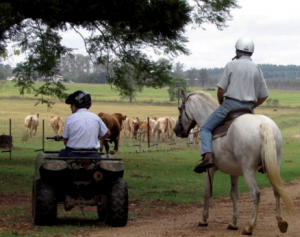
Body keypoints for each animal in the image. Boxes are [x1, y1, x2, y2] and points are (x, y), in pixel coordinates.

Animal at [172, 89, 294, 235]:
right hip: (274, 166)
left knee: (256, 194)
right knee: (277, 190)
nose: (177, 130)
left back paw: (249, 227)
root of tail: (263, 125)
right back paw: (281, 222)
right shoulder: (234, 171)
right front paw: (233, 222)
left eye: (180, 108)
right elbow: (233, 194)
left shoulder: (209, 169)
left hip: (248, 170)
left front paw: (203, 219)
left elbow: (207, 192)